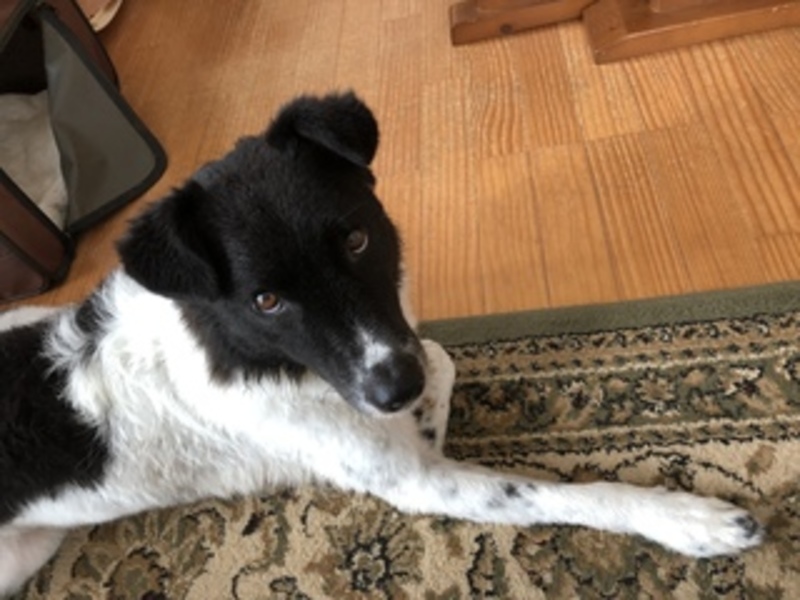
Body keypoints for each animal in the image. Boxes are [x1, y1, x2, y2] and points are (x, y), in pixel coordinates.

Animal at [0, 92, 763, 595]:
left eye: (358, 240)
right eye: (266, 300)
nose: (394, 389)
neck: (253, 352)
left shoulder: (403, 370)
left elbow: (441, 360)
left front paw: (426, 402)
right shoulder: (420, 481)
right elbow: (561, 492)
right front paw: (686, 519)